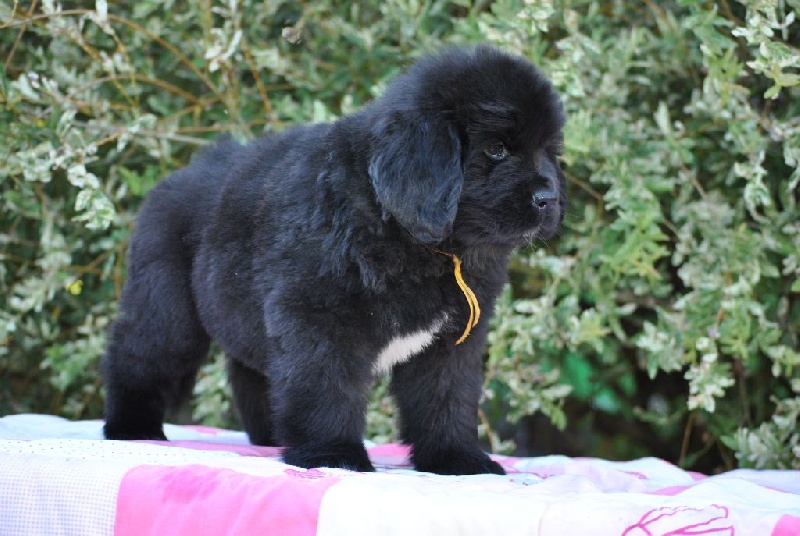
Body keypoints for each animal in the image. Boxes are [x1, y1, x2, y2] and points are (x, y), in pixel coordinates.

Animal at [102, 45, 566, 475]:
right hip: (169, 309)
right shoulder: (318, 318)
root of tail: (174, 178)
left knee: (251, 372)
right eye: (497, 149)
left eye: (549, 151)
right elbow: (327, 388)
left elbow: (447, 397)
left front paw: (457, 458)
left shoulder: (452, 341)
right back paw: (131, 427)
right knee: (138, 353)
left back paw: (272, 436)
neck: (415, 240)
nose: (550, 199)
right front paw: (333, 455)